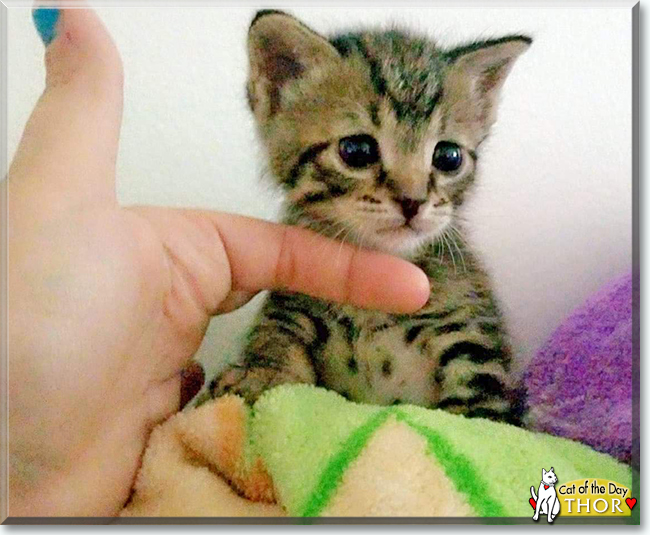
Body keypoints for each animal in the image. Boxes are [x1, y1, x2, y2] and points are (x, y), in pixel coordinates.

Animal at [209, 9, 532, 422]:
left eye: (449, 157)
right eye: (357, 150)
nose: (413, 201)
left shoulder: (475, 344)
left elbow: (476, 417)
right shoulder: (292, 300)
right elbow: (278, 334)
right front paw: (261, 373)